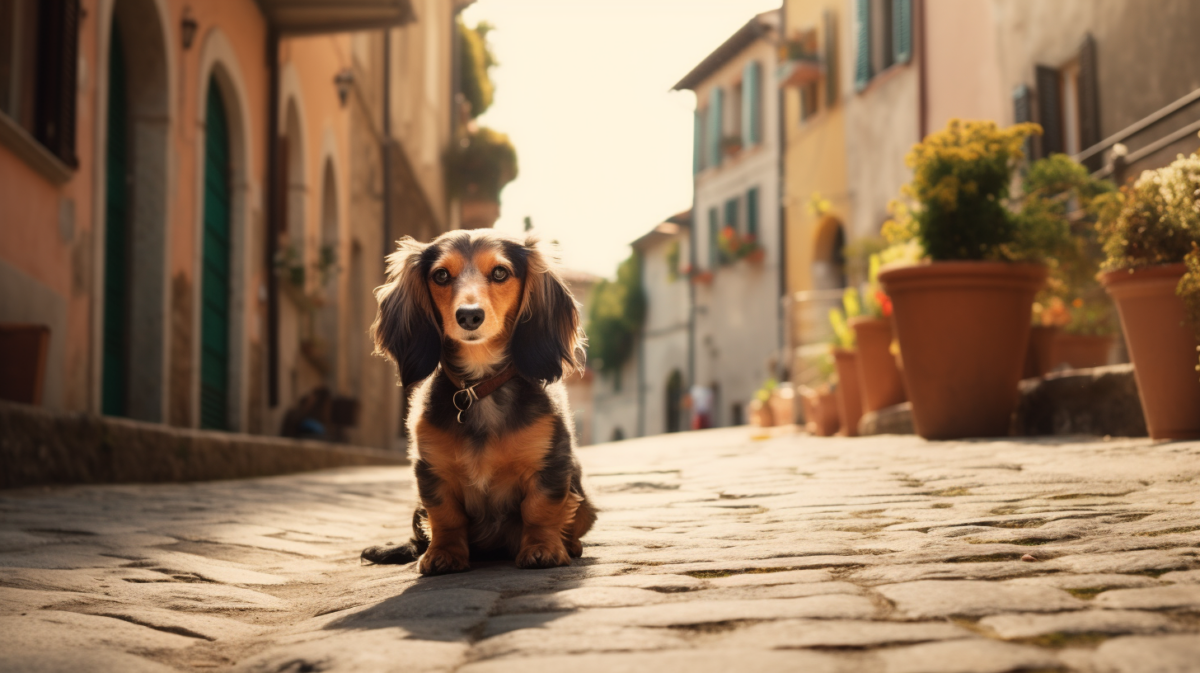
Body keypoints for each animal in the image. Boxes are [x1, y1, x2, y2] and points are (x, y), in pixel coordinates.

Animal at [357, 229, 597, 571]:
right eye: (441, 275)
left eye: (500, 273)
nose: (469, 316)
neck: (480, 387)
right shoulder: (431, 471)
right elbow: (445, 516)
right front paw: (444, 554)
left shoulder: (549, 463)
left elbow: (540, 508)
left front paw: (542, 548)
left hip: (585, 503)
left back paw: (571, 545)